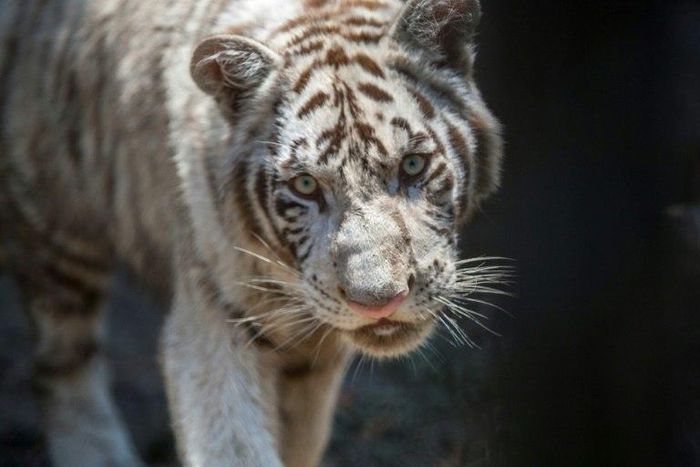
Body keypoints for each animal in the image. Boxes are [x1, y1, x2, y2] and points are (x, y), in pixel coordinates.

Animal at [0, 0, 506, 465]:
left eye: (413, 165)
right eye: (306, 185)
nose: (379, 301)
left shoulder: (311, 358)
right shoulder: (212, 322)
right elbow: (234, 443)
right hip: (59, 228)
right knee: (62, 361)